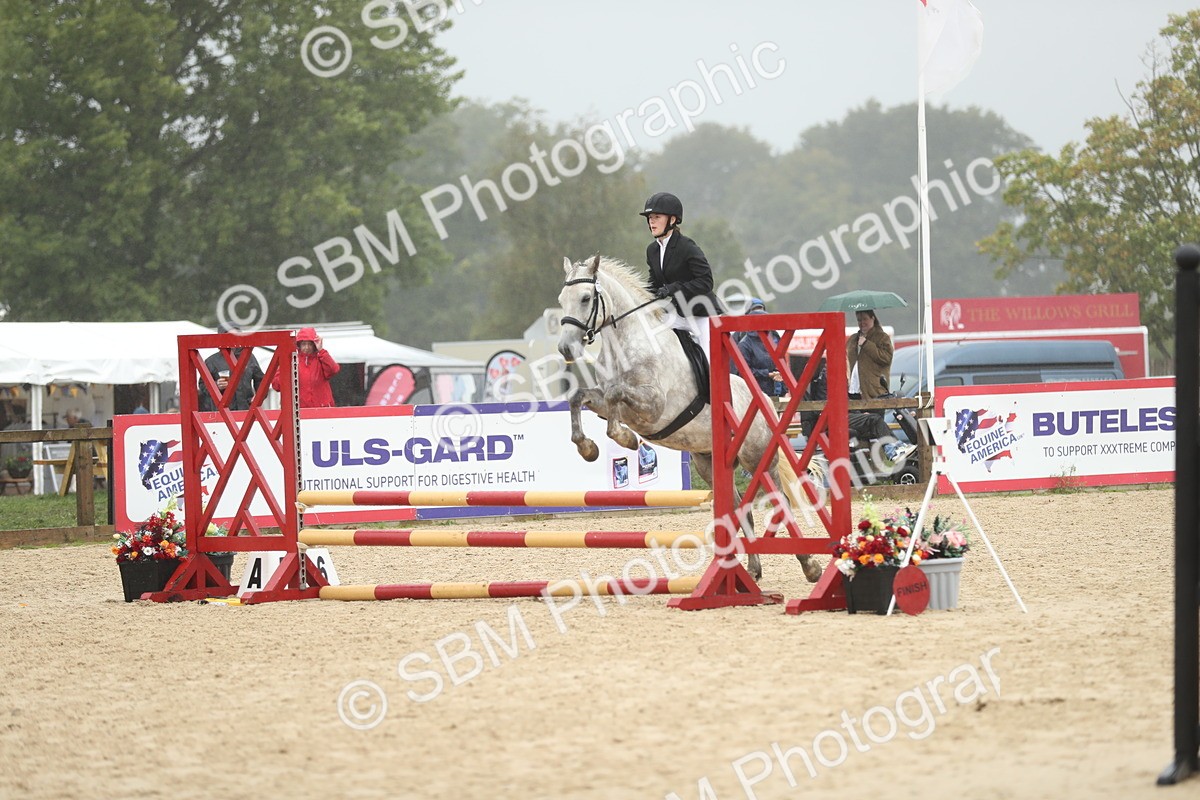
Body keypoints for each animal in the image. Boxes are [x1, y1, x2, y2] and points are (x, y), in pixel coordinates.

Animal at [555, 254, 823, 584]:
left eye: (585, 298)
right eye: (561, 300)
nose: (566, 348)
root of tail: (765, 400)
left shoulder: (653, 405)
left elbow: (618, 395)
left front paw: (625, 439)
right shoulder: (604, 401)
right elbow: (579, 397)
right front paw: (588, 448)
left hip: (758, 457)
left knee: (780, 501)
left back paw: (810, 566)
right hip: (709, 461)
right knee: (739, 506)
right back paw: (751, 569)